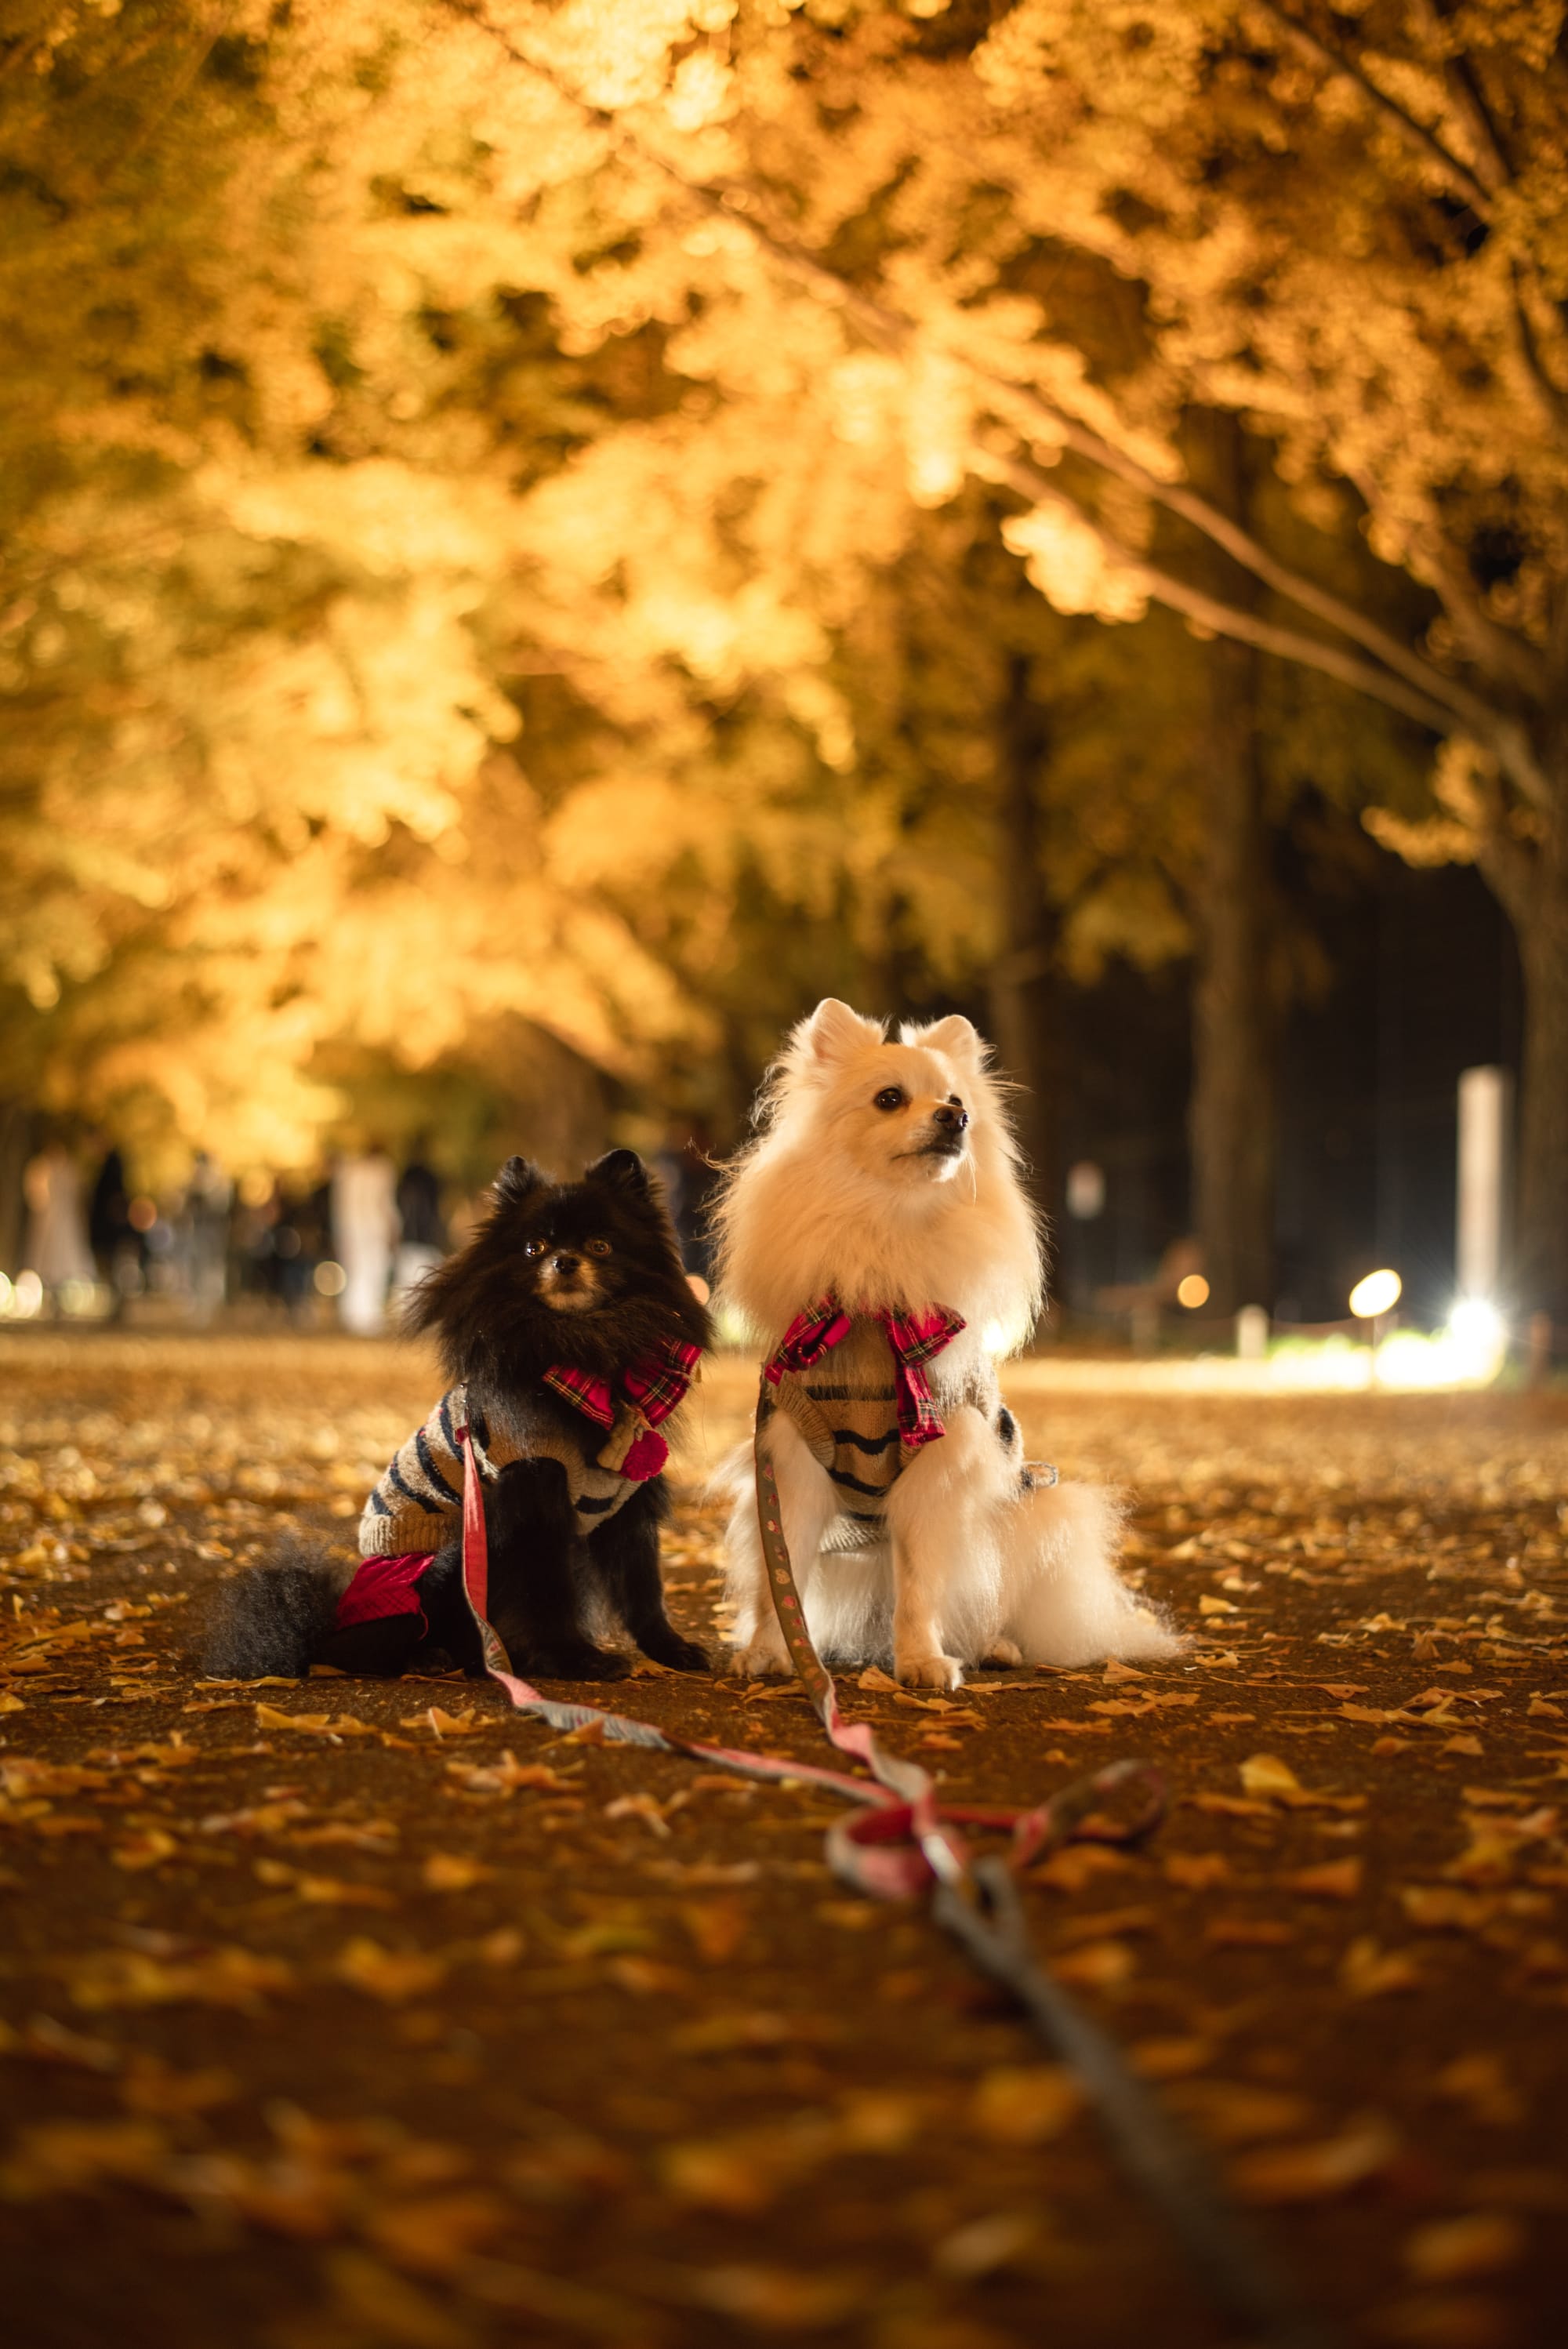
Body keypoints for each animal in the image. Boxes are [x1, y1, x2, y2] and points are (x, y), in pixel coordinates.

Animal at [200, 1156, 709, 1691]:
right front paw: (574, 1659)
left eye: (600, 1246)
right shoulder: (533, 1500)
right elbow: (551, 1593)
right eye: (534, 1248)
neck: (581, 1352)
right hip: (444, 1564)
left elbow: (643, 1591)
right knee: (367, 1649)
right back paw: (434, 1657)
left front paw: (671, 1649)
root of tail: (329, 1625)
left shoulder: (628, 1503)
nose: (563, 1262)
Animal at [709, 996, 1174, 1691]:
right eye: (889, 1099)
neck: (887, 1245)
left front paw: (922, 1661)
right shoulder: (790, 1463)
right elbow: (779, 1578)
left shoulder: (938, 1470)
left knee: (988, 1602)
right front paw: (770, 1651)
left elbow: (922, 1585)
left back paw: (997, 1646)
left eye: (956, 1101)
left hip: (1025, 1517)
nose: (955, 1119)